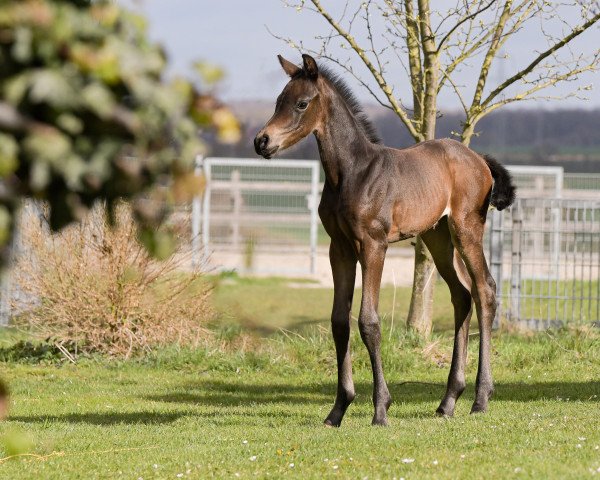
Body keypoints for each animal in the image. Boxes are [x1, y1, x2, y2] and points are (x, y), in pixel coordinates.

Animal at [253, 54, 516, 426]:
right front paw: (338, 409)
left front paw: (380, 409)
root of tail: (479, 159)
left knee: (485, 291)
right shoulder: (339, 248)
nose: (262, 142)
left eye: (301, 103)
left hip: (466, 229)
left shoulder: (373, 245)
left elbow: (369, 322)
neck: (351, 173)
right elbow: (339, 321)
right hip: (437, 236)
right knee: (462, 295)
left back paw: (480, 398)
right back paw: (448, 400)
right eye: (278, 101)